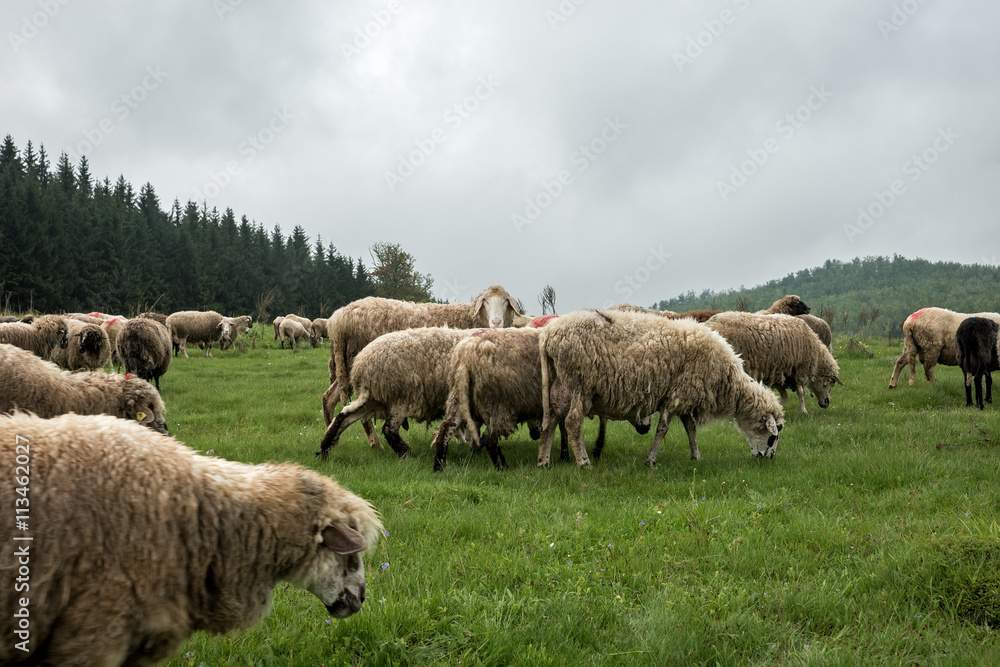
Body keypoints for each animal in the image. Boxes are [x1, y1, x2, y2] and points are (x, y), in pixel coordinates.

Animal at [318, 327, 475, 460]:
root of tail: (361, 364)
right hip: (402, 396)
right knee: (389, 429)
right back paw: (406, 453)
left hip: (374, 397)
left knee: (343, 417)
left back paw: (325, 450)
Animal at [327, 285, 520, 448]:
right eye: (485, 301)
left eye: (506, 301)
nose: (496, 322)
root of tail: (337, 319)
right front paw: (463, 438)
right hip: (360, 367)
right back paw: (375, 443)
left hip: (345, 367)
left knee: (329, 398)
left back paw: (332, 437)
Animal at [430, 326, 650, 471]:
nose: (646, 428)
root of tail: (465, 357)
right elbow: (569, 427)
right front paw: (579, 453)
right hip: (499, 403)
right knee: (490, 437)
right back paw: (503, 467)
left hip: (459, 398)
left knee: (445, 430)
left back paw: (439, 466)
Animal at [536, 310, 785, 468]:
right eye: (774, 436)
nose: (767, 459)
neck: (727, 378)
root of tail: (549, 335)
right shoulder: (678, 395)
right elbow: (663, 429)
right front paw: (651, 461)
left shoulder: (684, 395)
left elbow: (690, 428)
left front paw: (696, 456)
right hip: (579, 384)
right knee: (571, 422)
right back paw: (584, 463)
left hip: (559, 386)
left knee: (550, 421)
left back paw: (543, 462)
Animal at [706, 311, 841, 414]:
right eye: (830, 386)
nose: (826, 404)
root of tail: (708, 323)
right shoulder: (798, 369)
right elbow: (801, 393)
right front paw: (804, 411)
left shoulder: (778, 373)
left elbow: (785, 396)